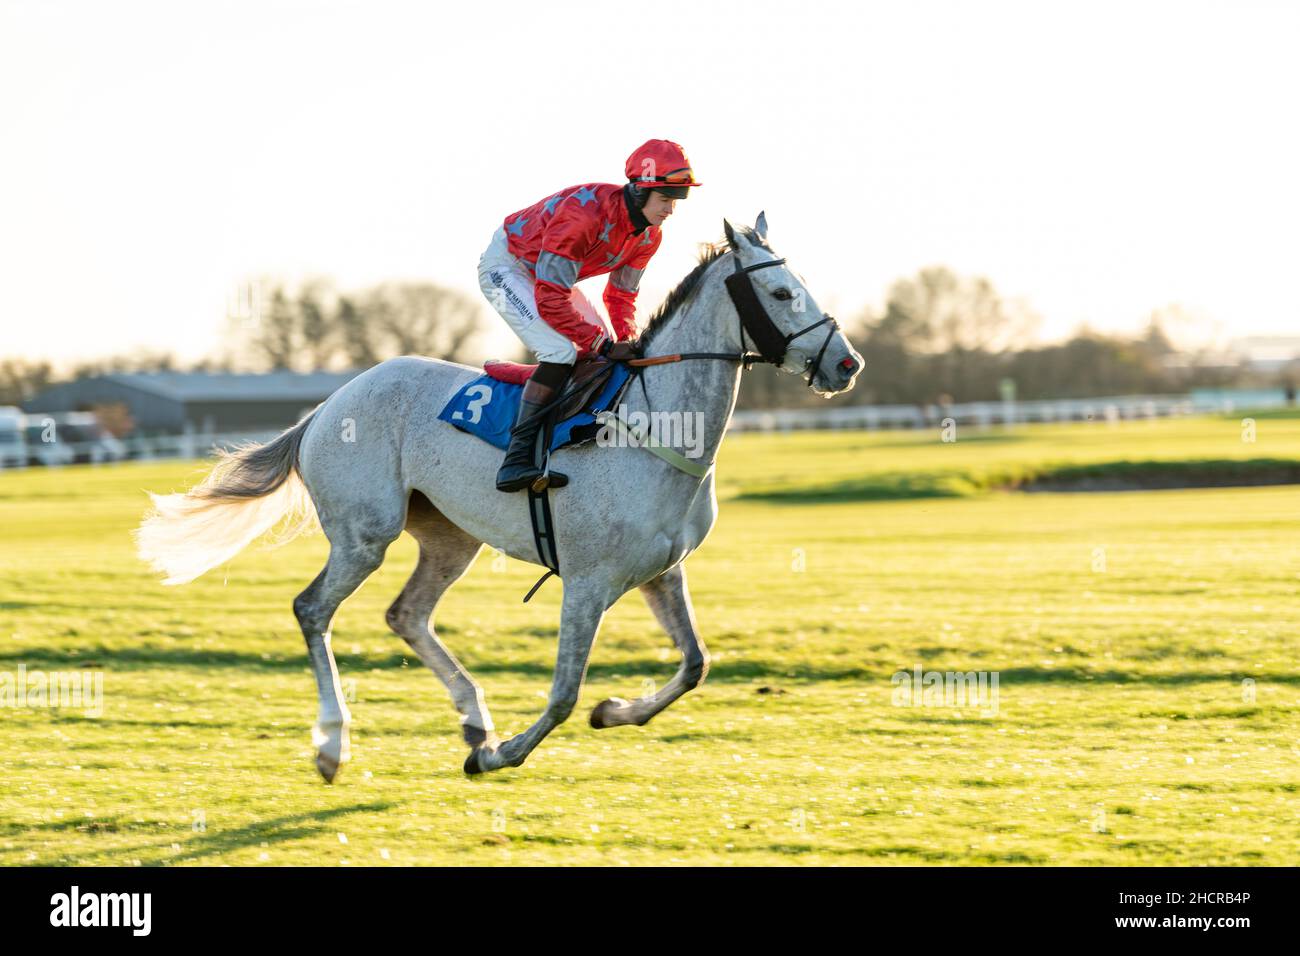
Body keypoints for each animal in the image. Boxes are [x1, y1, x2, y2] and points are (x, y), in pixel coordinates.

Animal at [137, 217, 863, 780]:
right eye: (781, 291)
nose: (846, 363)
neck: (656, 426)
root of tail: (325, 406)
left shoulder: (663, 572)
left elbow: (694, 665)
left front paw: (609, 713)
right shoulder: (589, 581)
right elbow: (565, 692)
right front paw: (503, 753)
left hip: (450, 537)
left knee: (406, 614)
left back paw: (472, 719)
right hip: (364, 534)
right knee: (313, 610)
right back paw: (335, 745)